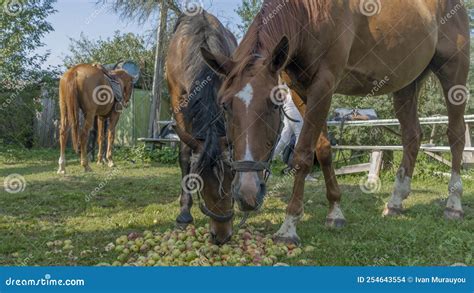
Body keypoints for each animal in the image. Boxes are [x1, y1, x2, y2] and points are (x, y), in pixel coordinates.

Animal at [167, 11, 239, 243]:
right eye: (200, 182)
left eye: (232, 176)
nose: (222, 236)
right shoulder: (177, 101)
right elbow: (184, 155)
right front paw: (184, 211)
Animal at [202, 0, 472, 244]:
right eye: (224, 105)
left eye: (275, 105)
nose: (247, 193)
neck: (310, 14)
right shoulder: (301, 89)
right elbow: (322, 149)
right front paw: (335, 212)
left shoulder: (324, 86)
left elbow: (303, 154)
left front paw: (289, 227)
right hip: (406, 84)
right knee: (412, 136)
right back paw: (395, 201)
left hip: (453, 73)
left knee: (456, 135)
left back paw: (454, 205)